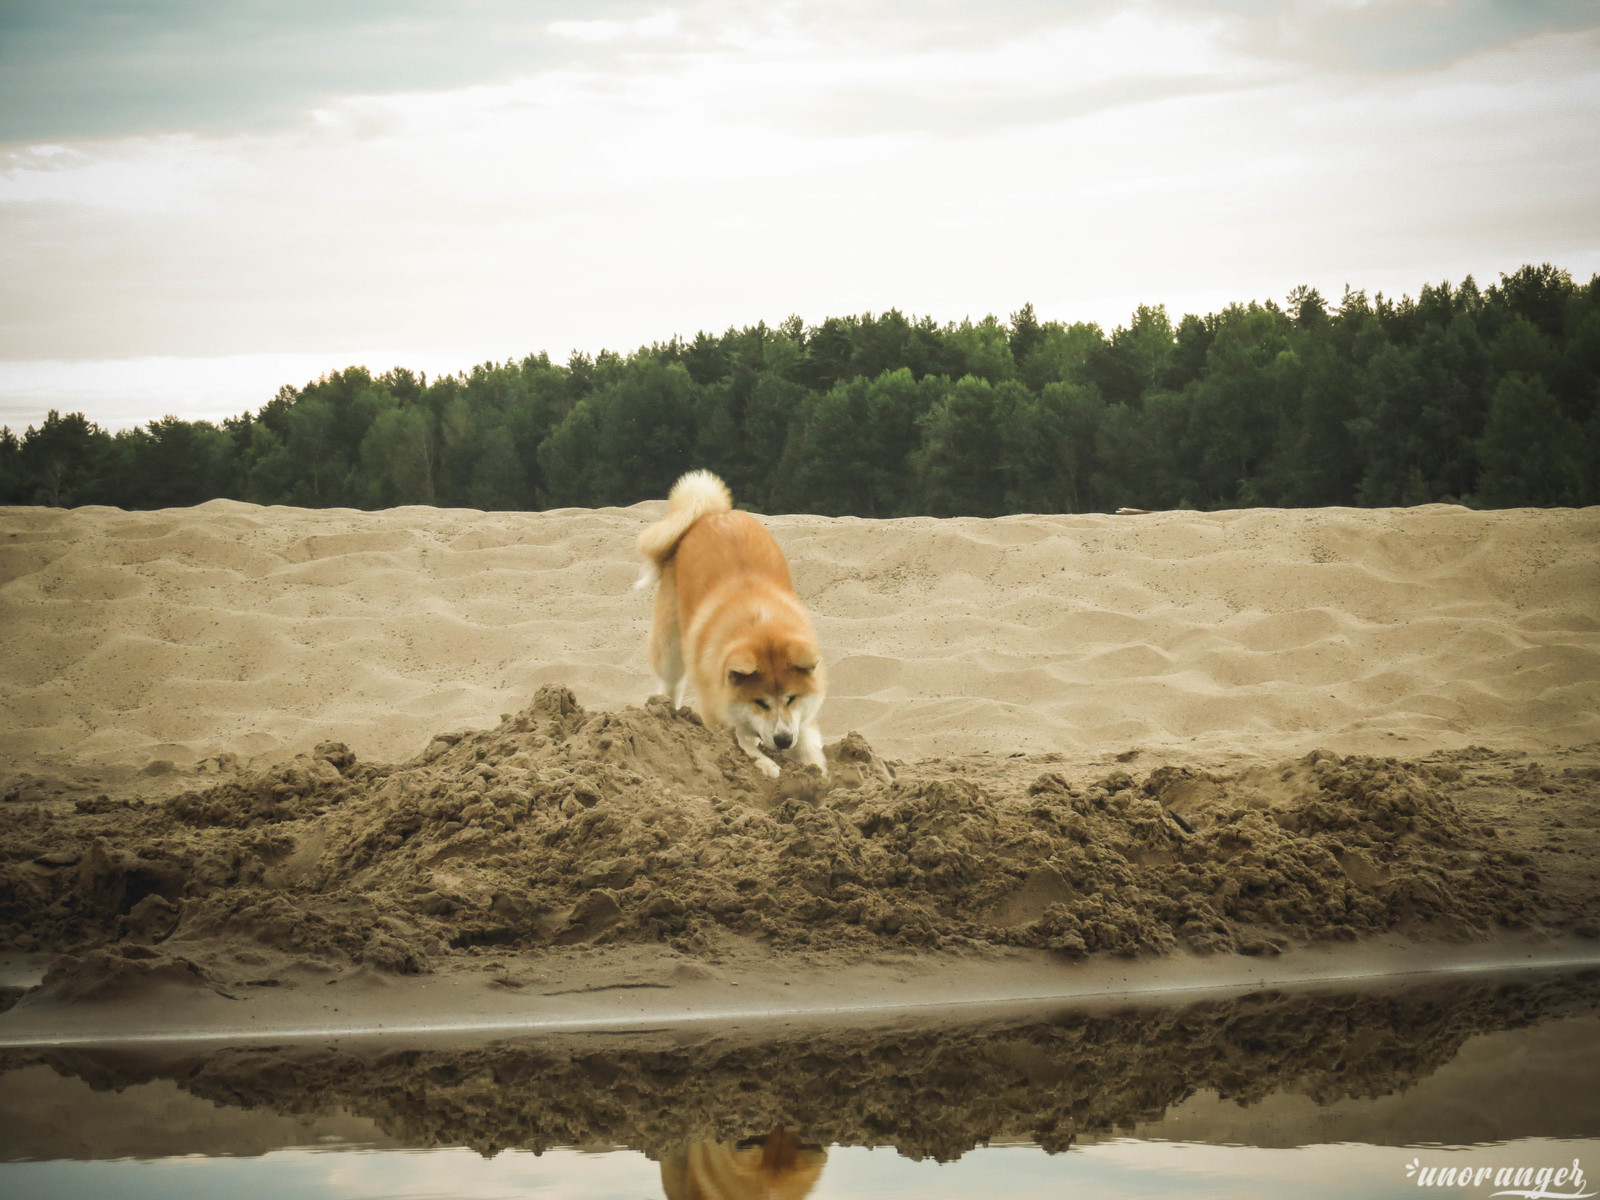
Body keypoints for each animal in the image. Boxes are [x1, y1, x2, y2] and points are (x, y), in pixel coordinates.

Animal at [636, 470, 832, 780]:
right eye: (760, 702)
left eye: (791, 698)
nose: (783, 740)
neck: (761, 624)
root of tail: (712, 515)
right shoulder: (716, 709)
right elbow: (739, 742)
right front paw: (766, 764)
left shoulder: (802, 718)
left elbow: (809, 746)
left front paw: (817, 773)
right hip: (670, 648)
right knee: (669, 687)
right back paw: (667, 719)